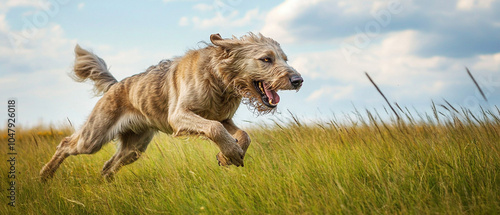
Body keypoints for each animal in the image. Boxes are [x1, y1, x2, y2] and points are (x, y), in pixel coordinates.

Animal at [39, 31, 302, 181]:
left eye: (285, 59)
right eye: (266, 59)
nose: (298, 80)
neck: (218, 78)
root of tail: (116, 85)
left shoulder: (224, 118)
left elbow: (243, 134)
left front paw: (229, 155)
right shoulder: (179, 115)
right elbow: (214, 128)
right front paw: (230, 153)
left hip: (134, 148)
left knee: (107, 167)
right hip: (93, 138)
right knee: (65, 145)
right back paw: (45, 175)